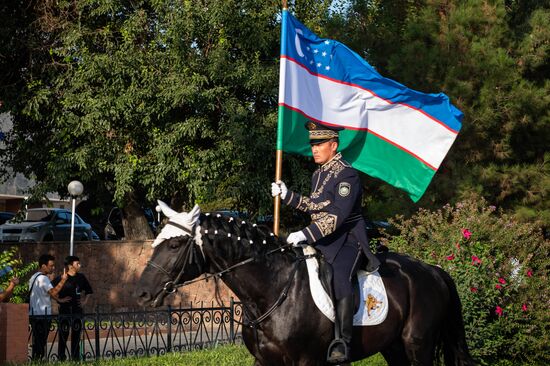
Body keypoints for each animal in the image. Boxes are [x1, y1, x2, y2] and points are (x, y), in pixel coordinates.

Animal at [136, 203, 476, 366]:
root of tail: (432, 270)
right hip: (393, 347)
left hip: (418, 345)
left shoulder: (305, 361)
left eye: (175, 245)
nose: (142, 294)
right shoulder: (264, 361)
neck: (273, 291)